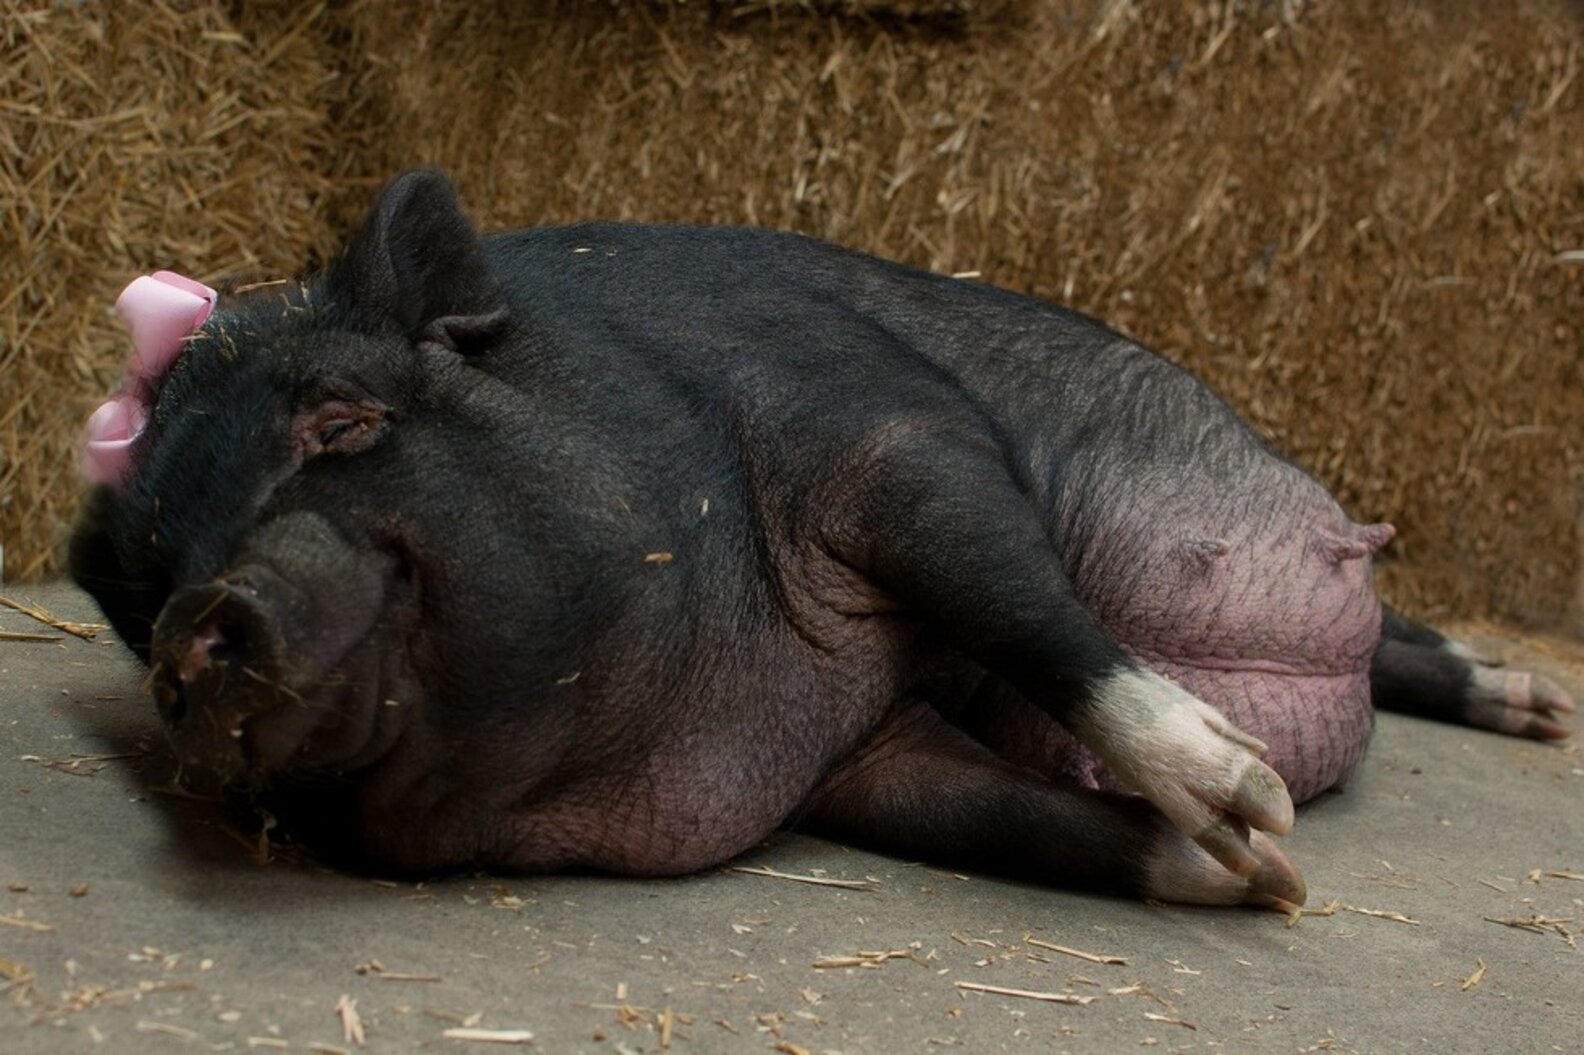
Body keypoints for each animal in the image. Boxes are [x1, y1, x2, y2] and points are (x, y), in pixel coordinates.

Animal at [71, 170, 1575, 909]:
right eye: (153, 571)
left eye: (339, 420)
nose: (201, 614)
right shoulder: (856, 760)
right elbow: (1025, 822)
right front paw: (1258, 875)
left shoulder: (887, 436)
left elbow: (1031, 610)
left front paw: (1252, 799)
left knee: (1401, 631)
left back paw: (1538, 706)